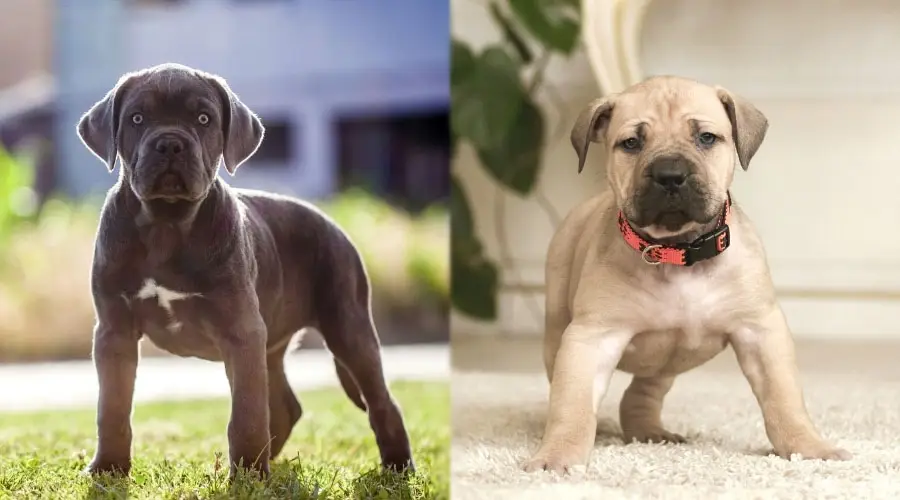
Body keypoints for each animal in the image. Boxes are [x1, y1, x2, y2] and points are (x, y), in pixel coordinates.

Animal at [77, 62, 414, 476]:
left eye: (204, 118)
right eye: (137, 118)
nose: (170, 143)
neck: (166, 224)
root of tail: (334, 225)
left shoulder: (240, 329)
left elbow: (247, 411)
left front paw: (248, 471)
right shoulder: (115, 330)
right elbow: (112, 405)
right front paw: (108, 467)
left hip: (348, 326)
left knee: (381, 400)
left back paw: (397, 466)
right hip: (272, 342)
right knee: (286, 405)